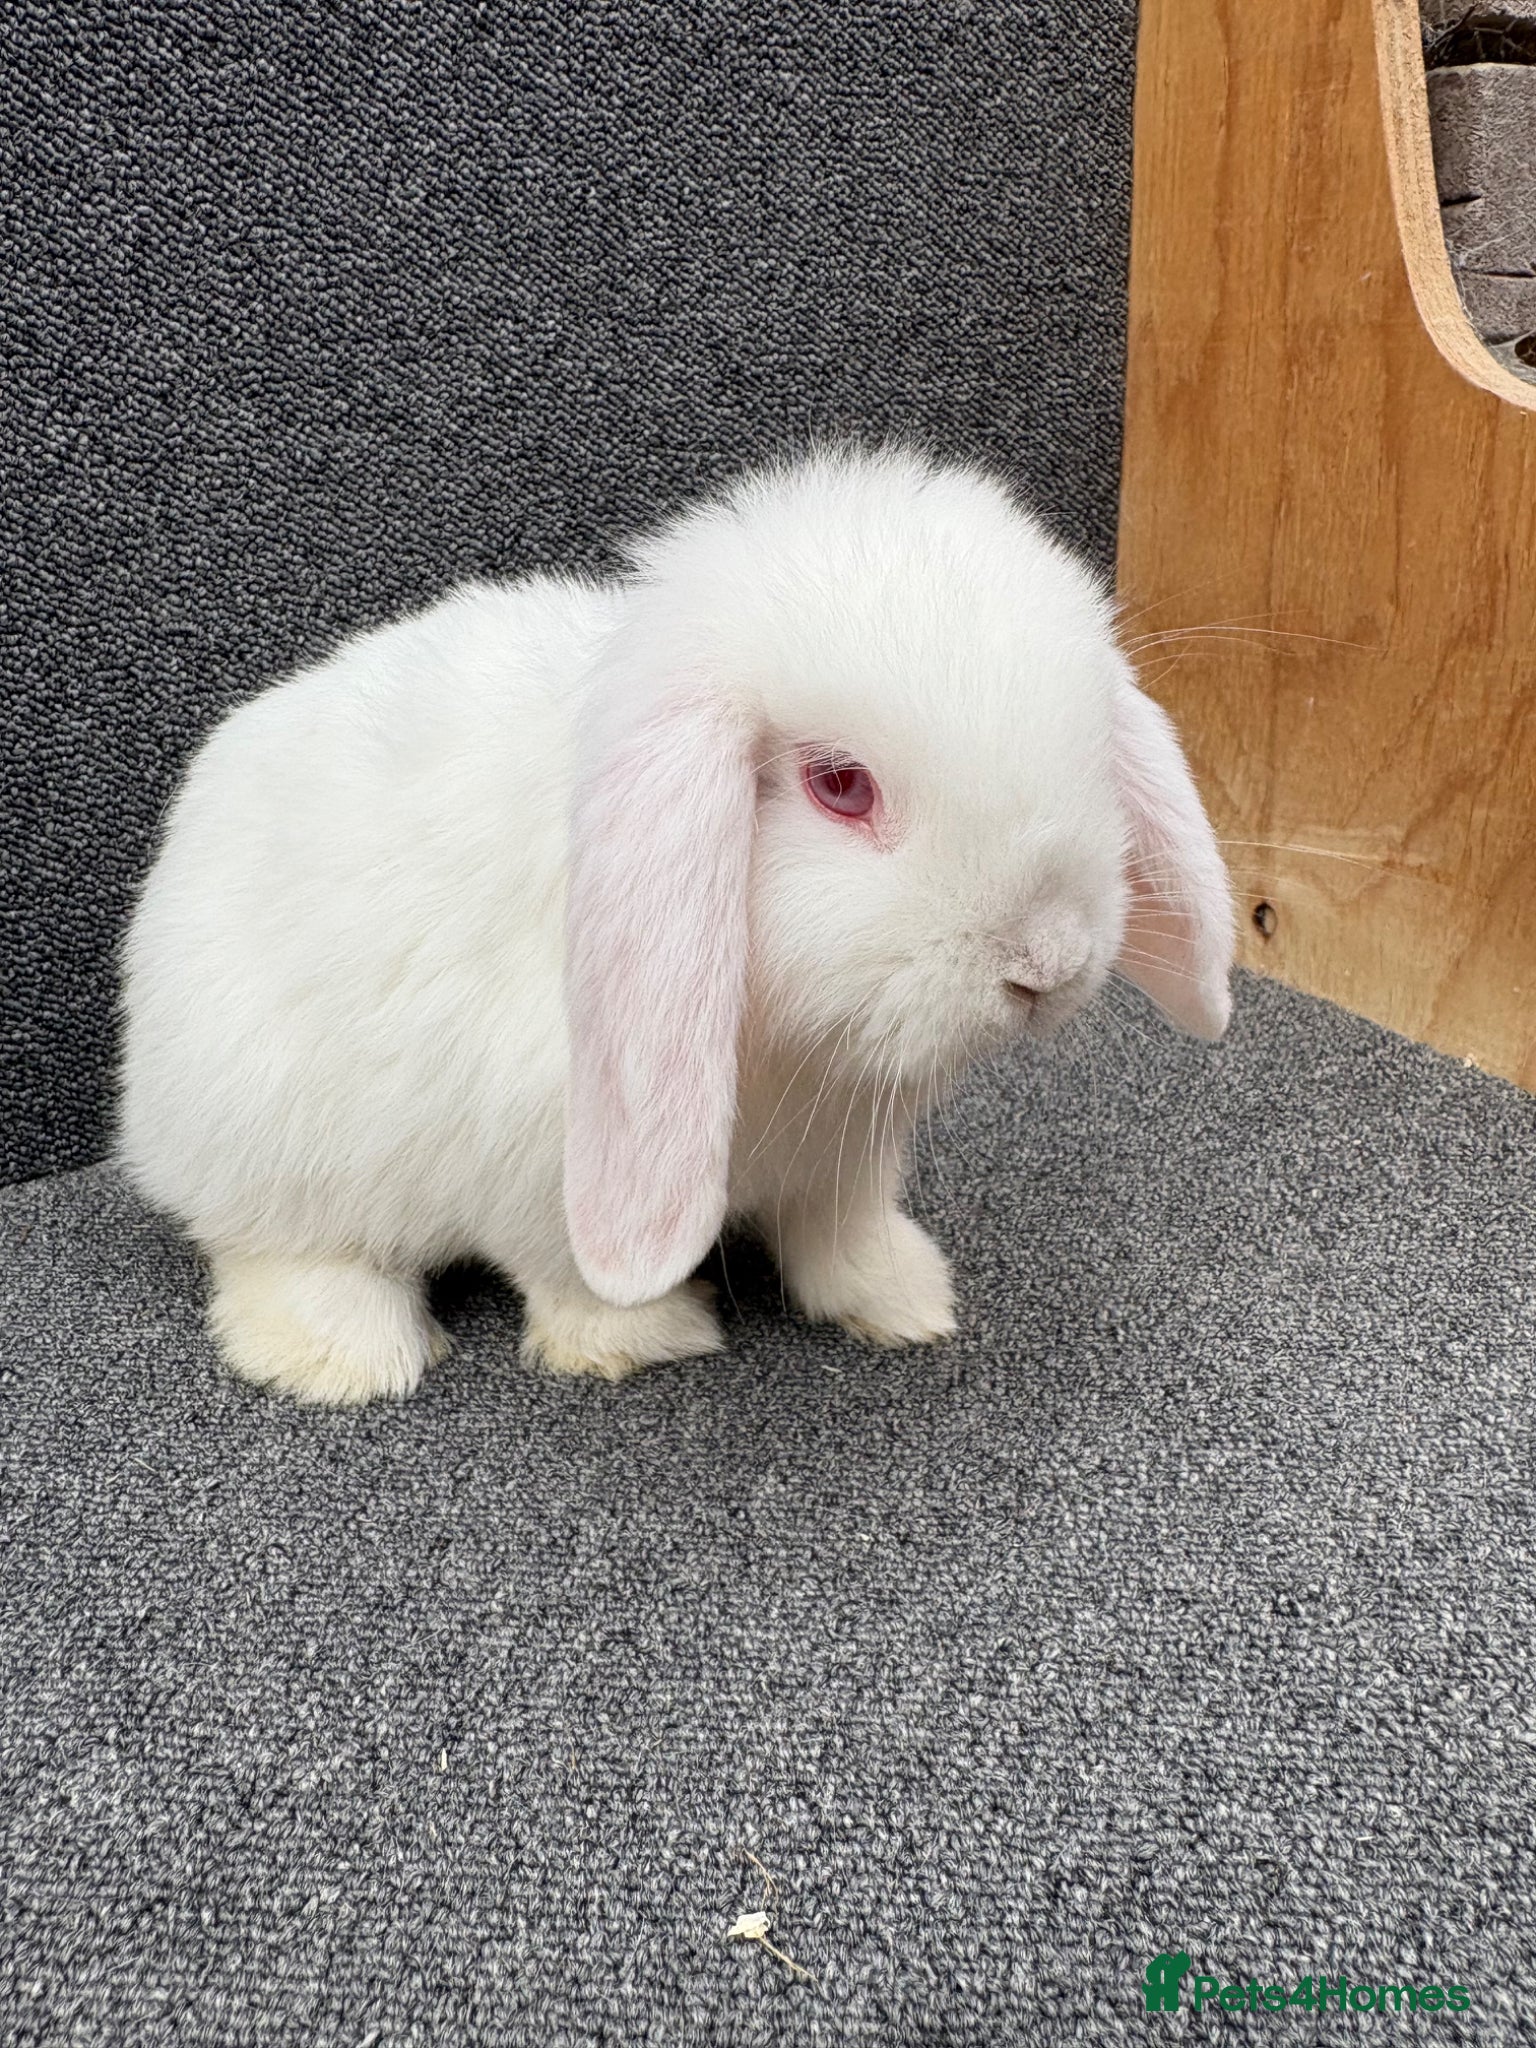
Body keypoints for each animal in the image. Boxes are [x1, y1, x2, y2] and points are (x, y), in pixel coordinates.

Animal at [117, 444, 1234, 1406]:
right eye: (841, 785)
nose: (1049, 961)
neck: (795, 1044)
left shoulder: (847, 1153)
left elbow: (842, 1232)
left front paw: (907, 1300)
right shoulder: (551, 1151)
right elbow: (569, 1268)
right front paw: (645, 1335)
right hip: (273, 1141)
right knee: (273, 1251)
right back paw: (351, 1358)